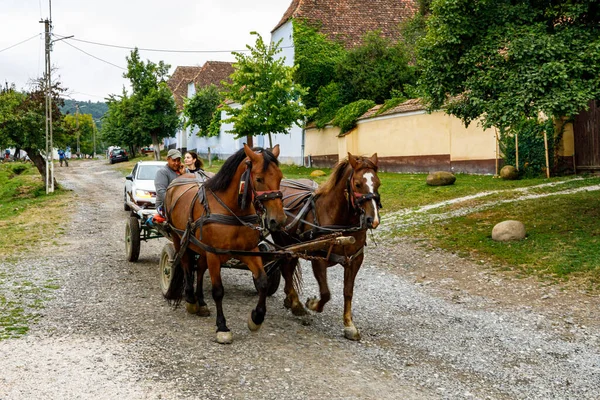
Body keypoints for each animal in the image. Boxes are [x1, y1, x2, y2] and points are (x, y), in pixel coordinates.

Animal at [164, 144, 286, 344]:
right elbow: (218, 290)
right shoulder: (214, 254)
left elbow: (262, 282)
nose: (279, 220)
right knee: (187, 265)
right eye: (259, 179)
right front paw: (222, 327)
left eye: (280, 177)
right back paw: (190, 299)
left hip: (201, 247)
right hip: (178, 237)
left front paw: (256, 318)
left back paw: (201, 302)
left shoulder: (249, 251)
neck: (232, 210)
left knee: (199, 269)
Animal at [270, 153, 380, 340]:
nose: (373, 220)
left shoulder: (354, 259)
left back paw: (290, 300)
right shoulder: (319, 258)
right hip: (282, 243)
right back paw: (296, 303)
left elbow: (348, 291)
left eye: (378, 183)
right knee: (286, 269)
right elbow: (326, 293)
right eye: (358, 184)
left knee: (289, 268)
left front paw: (349, 325)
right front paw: (312, 304)